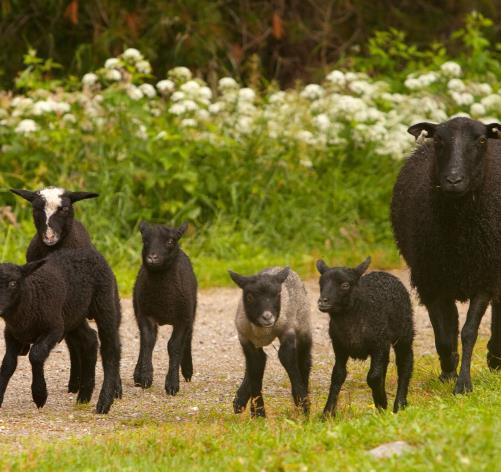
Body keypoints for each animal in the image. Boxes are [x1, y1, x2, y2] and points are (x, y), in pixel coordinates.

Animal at [0, 249, 121, 414]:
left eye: (13, 283)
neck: (32, 297)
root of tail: (90, 251)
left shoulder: (54, 328)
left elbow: (36, 355)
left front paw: (39, 395)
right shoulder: (11, 335)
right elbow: (8, 364)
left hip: (104, 303)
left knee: (110, 349)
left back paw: (104, 402)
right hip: (73, 316)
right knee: (90, 340)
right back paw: (84, 395)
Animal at [132, 221, 196, 394]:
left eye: (170, 241)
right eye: (145, 240)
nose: (152, 258)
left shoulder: (182, 318)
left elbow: (174, 346)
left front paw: (172, 384)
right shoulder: (145, 314)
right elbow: (148, 341)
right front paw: (145, 377)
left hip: (191, 310)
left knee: (189, 336)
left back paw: (187, 371)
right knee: (143, 341)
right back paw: (137, 374)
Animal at [316, 258, 414, 416]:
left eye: (345, 285)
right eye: (321, 284)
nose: (322, 302)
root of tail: (384, 273)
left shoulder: (379, 344)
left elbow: (373, 377)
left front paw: (382, 402)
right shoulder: (339, 347)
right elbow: (337, 375)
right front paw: (328, 413)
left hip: (404, 331)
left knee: (405, 362)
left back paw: (399, 404)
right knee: (384, 367)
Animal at [390, 117, 500, 394]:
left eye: (481, 140)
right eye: (439, 140)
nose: (453, 179)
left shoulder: (484, 276)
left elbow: (469, 332)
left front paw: (463, 385)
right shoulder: (431, 280)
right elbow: (443, 334)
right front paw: (449, 371)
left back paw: (495, 357)